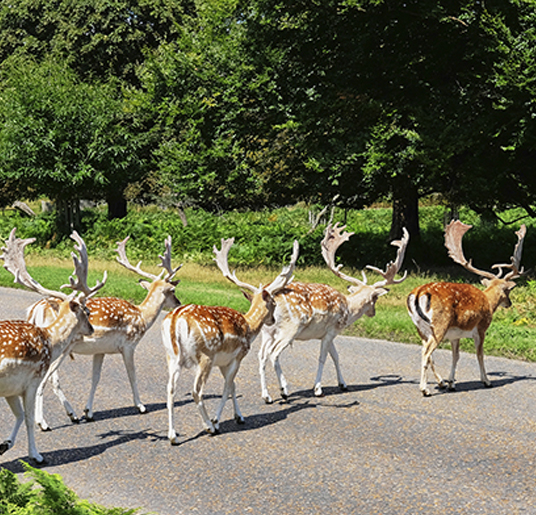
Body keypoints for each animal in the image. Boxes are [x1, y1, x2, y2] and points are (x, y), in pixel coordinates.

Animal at [0, 229, 103, 464]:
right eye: (87, 311)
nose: (92, 329)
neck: (49, 340)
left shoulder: (11, 388)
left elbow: (19, 415)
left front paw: (5, 445)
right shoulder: (32, 380)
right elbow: (29, 418)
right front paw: (37, 455)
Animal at [27, 236, 181, 430]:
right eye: (173, 290)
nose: (178, 303)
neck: (142, 317)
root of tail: (35, 311)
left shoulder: (100, 350)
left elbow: (95, 378)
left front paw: (88, 412)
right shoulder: (129, 345)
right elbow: (132, 374)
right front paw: (141, 406)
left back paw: (72, 415)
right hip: (61, 347)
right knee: (46, 380)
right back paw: (44, 423)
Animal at [161, 238, 300, 444]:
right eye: (274, 303)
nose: (273, 320)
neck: (249, 327)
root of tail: (175, 320)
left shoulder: (223, 361)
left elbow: (233, 386)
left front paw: (239, 417)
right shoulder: (238, 356)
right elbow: (227, 387)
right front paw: (216, 421)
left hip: (172, 356)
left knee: (170, 389)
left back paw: (173, 436)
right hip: (205, 355)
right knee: (196, 391)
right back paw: (208, 427)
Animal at [258, 224, 408, 406]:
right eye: (375, 299)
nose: (373, 313)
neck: (348, 310)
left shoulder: (328, 333)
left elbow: (336, 356)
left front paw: (343, 384)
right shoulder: (331, 331)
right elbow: (323, 358)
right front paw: (318, 389)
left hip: (267, 331)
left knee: (262, 356)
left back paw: (267, 396)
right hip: (290, 328)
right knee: (273, 354)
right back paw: (284, 391)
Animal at [408, 220, 524, 398]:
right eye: (508, 291)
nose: (509, 303)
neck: (488, 302)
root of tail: (419, 293)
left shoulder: (455, 335)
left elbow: (456, 356)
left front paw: (451, 383)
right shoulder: (481, 328)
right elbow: (480, 354)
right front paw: (487, 381)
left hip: (421, 328)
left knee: (427, 353)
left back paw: (440, 383)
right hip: (439, 325)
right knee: (426, 353)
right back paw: (425, 389)